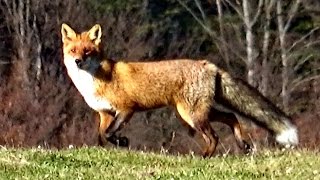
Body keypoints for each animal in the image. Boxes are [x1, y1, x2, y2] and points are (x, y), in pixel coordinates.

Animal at [61, 23, 298, 158]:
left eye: (87, 51)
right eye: (73, 50)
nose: (78, 61)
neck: (98, 79)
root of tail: (207, 64)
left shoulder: (127, 109)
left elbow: (109, 133)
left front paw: (122, 142)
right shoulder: (104, 113)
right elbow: (102, 135)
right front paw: (113, 146)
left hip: (192, 115)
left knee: (214, 136)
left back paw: (204, 157)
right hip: (199, 112)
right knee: (231, 116)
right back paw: (243, 145)